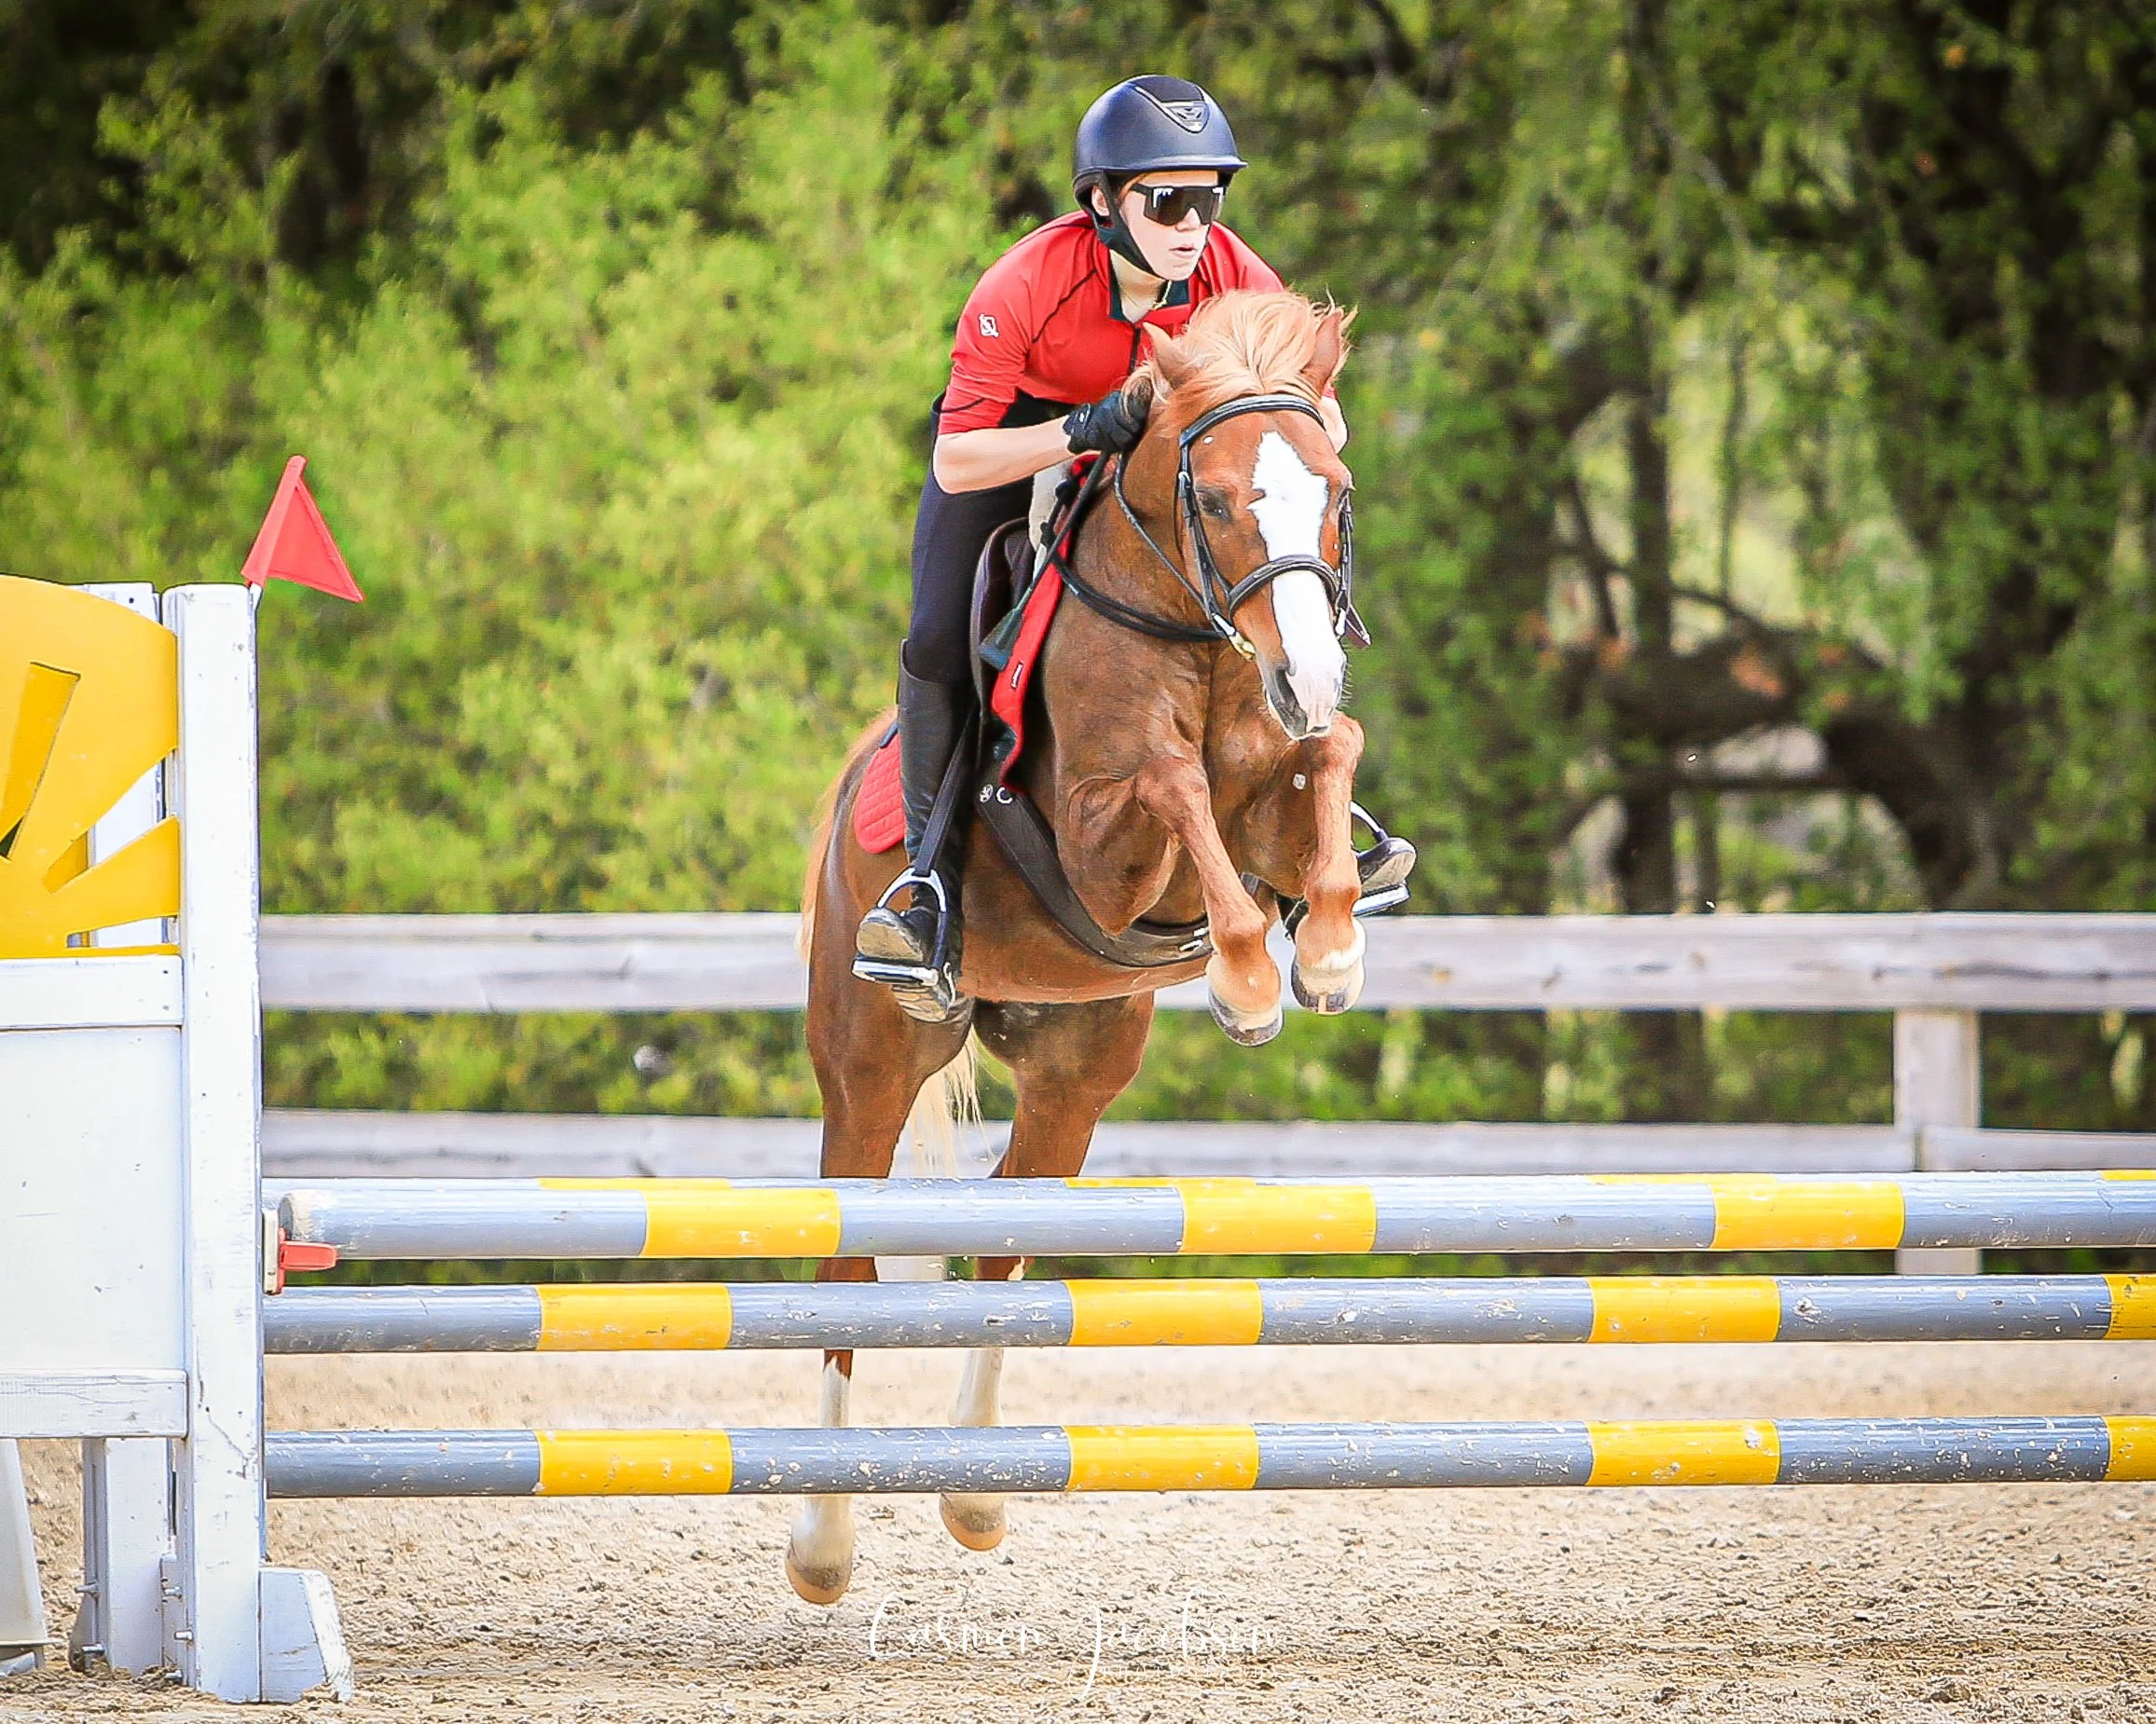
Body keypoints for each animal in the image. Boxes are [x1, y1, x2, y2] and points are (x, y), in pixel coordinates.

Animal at [787, 289, 1380, 1603]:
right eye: (1221, 499)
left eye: (1333, 488)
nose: (1309, 670)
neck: (1200, 640)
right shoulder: (1107, 853)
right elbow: (1173, 783)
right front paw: (1252, 980)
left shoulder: (1275, 779)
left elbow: (1331, 753)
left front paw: (1328, 951)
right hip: (870, 1061)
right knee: (844, 1271)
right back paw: (823, 1543)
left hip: (1075, 1061)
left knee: (1008, 1246)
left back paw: (970, 1498)